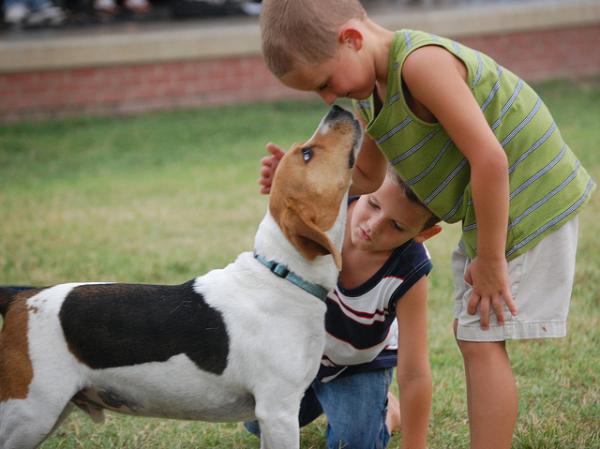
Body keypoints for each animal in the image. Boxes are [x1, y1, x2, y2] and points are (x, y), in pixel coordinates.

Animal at [0, 105, 360, 448]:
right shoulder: (278, 411)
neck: (283, 274)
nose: (338, 108)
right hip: (31, 413)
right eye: (307, 154)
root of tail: (21, 296)